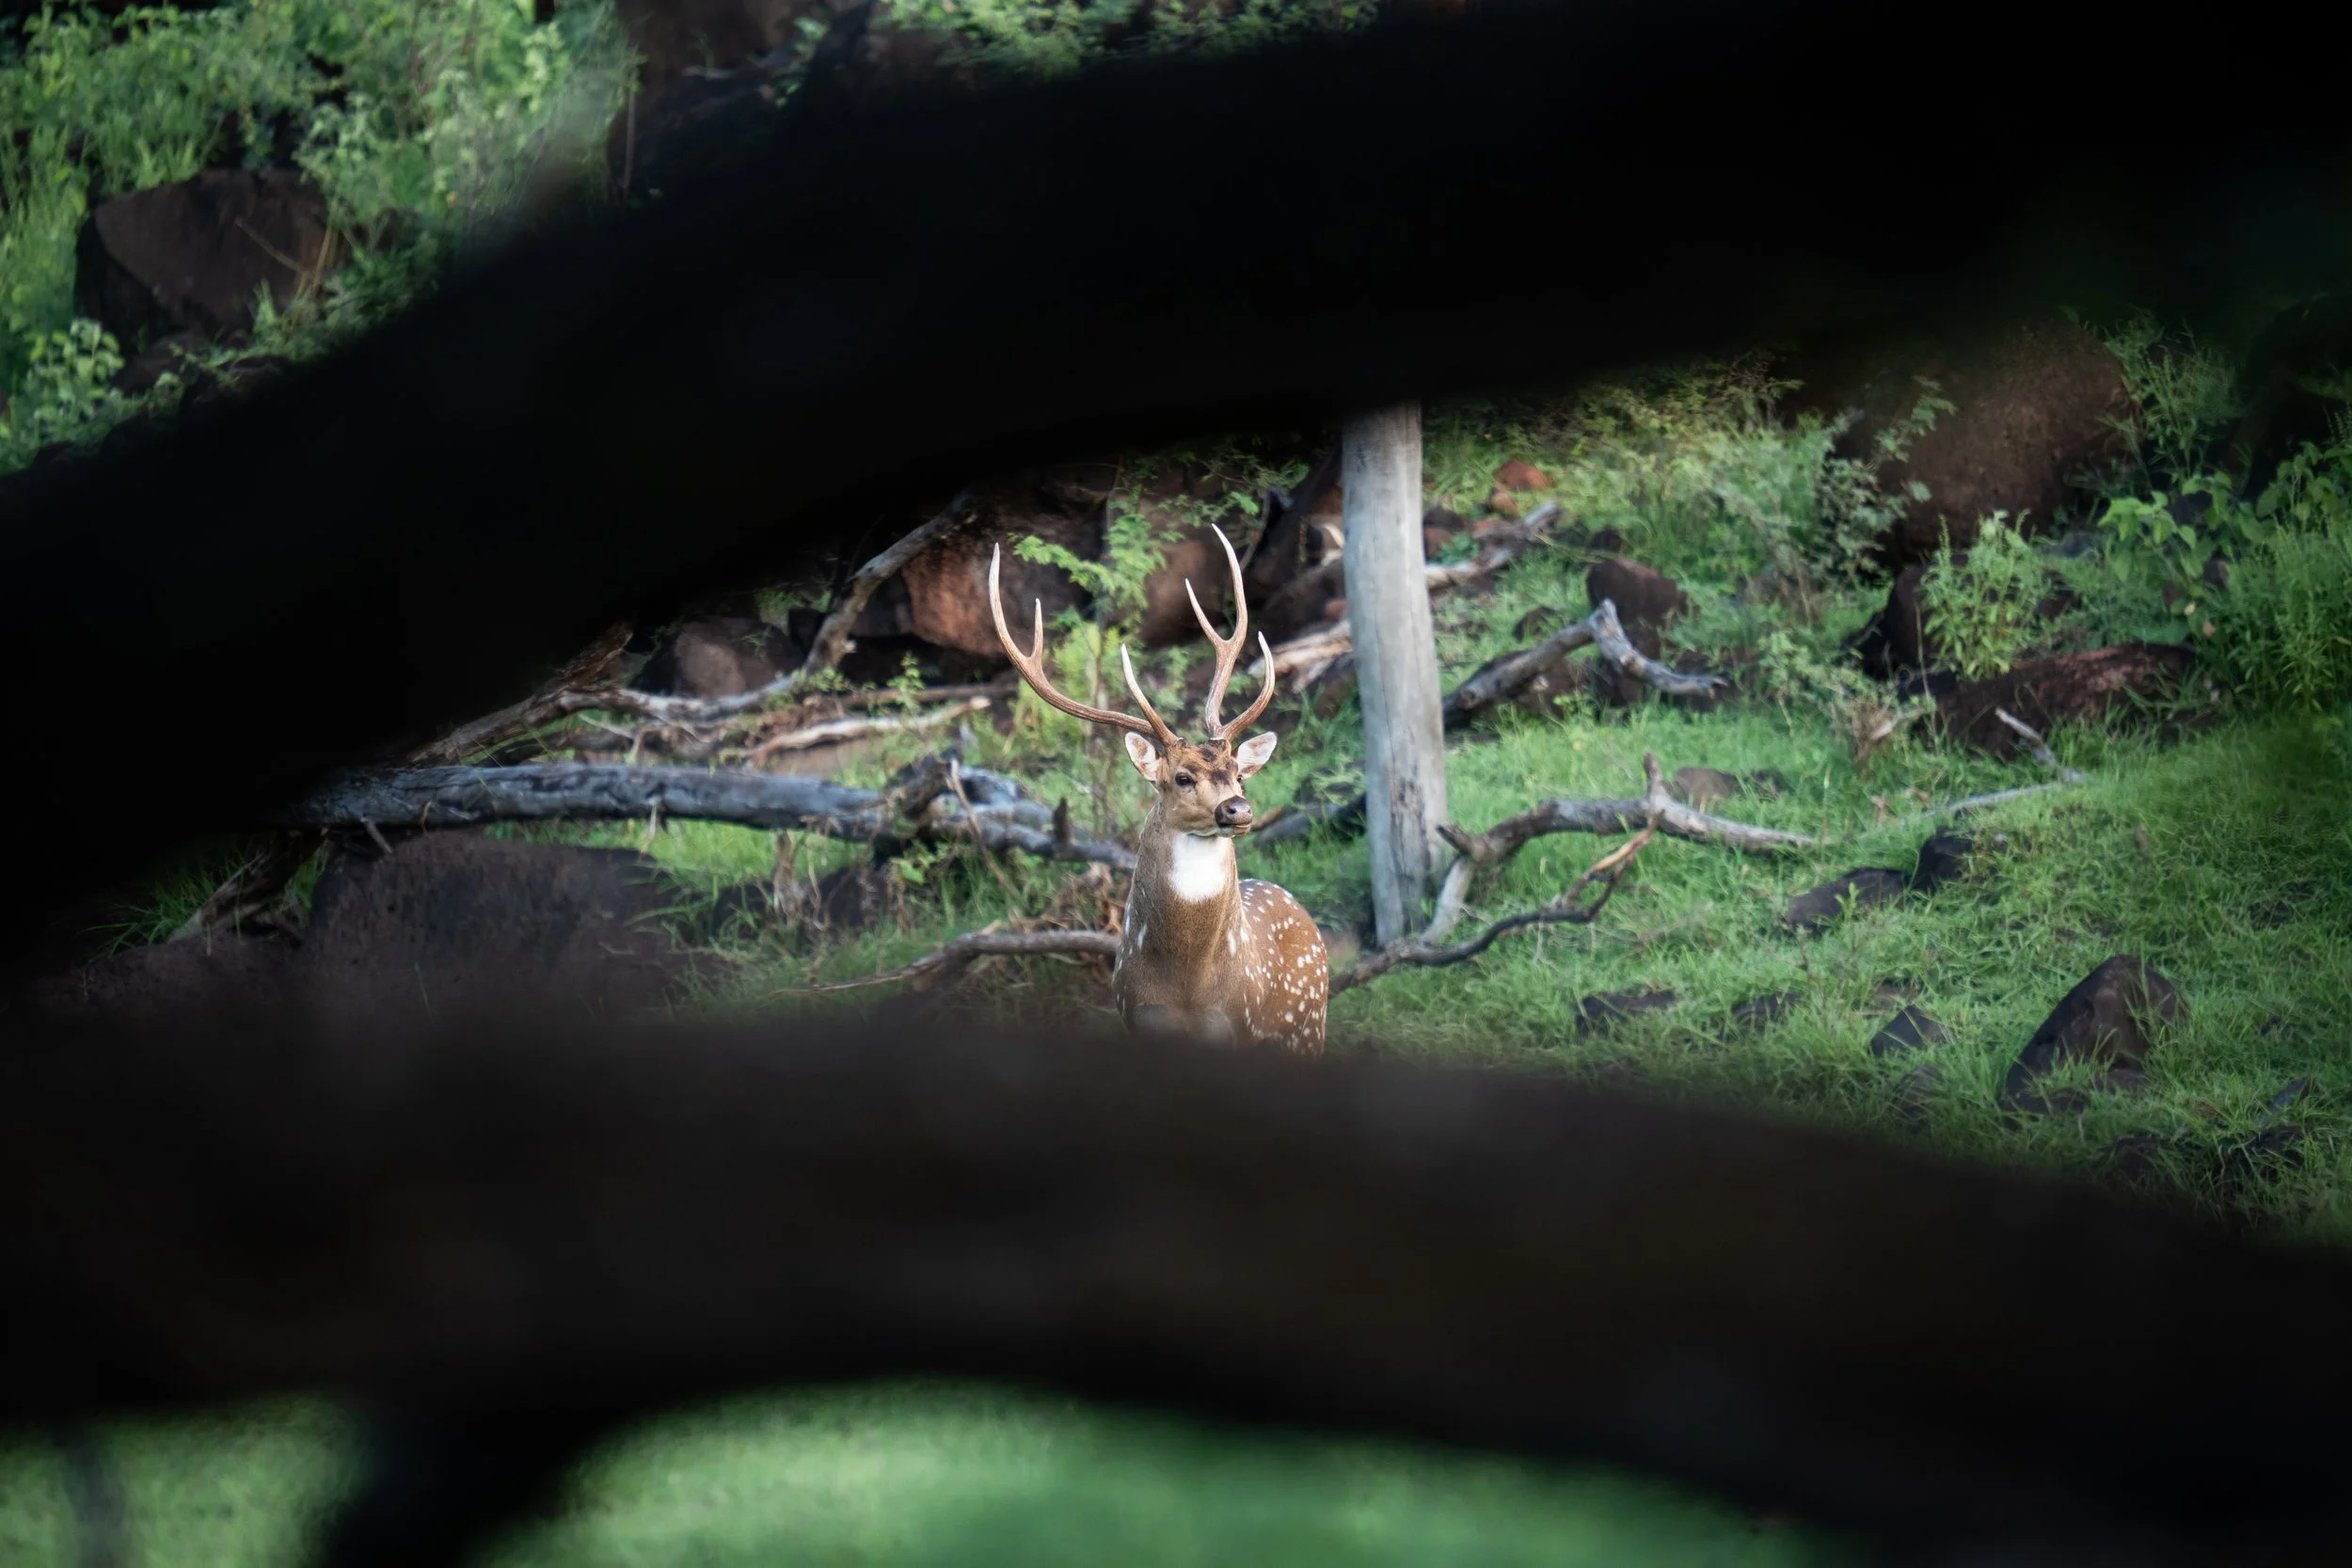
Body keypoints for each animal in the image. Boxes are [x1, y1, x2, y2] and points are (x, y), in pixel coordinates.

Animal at [989, 526, 1329, 1055]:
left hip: (1309, 1027)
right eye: (1182, 778)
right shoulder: (1136, 1015)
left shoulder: (1240, 1023)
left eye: (1239, 772)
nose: (1238, 809)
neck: (1189, 992)